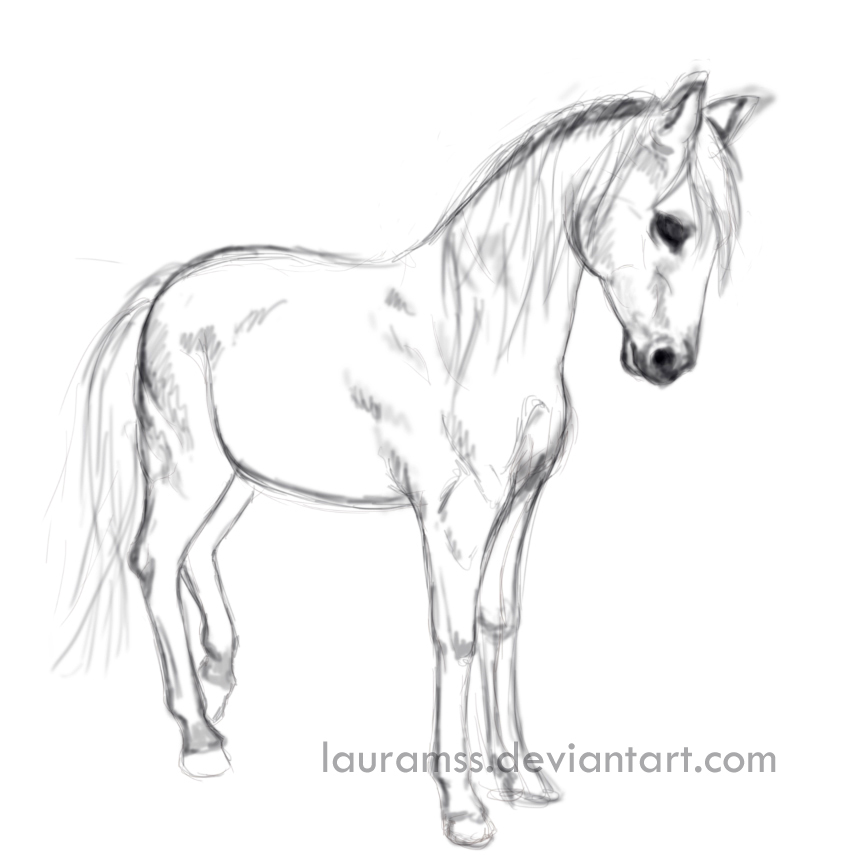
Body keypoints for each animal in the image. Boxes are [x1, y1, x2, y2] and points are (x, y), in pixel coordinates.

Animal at [53, 71, 763, 848]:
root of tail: (168, 291)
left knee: (198, 554)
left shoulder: (518, 506)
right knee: (155, 561)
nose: (668, 361)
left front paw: (521, 775)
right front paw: (464, 807)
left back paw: (219, 674)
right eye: (673, 226)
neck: (473, 333)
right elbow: (455, 638)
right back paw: (201, 739)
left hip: (235, 480)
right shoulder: (456, 518)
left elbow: (501, 622)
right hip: (187, 468)